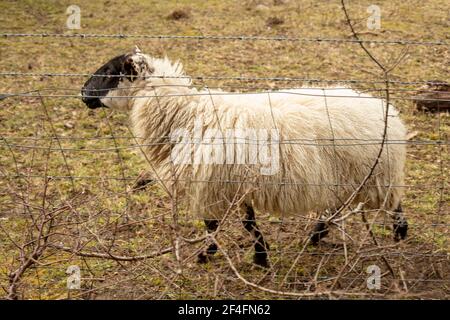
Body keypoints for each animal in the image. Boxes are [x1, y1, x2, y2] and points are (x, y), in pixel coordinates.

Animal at [81, 47, 408, 268]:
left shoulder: (213, 183)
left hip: (374, 174)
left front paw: (211, 255)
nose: (83, 93)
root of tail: (385, 110)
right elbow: (246, 222)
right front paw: (261, 255)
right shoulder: (233, 182)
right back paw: (316, 236)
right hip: (347, 176)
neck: (186, 113)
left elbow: (216, 224)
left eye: (110, 73)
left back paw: (400, 234)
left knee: (393, 204)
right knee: (335, 208)